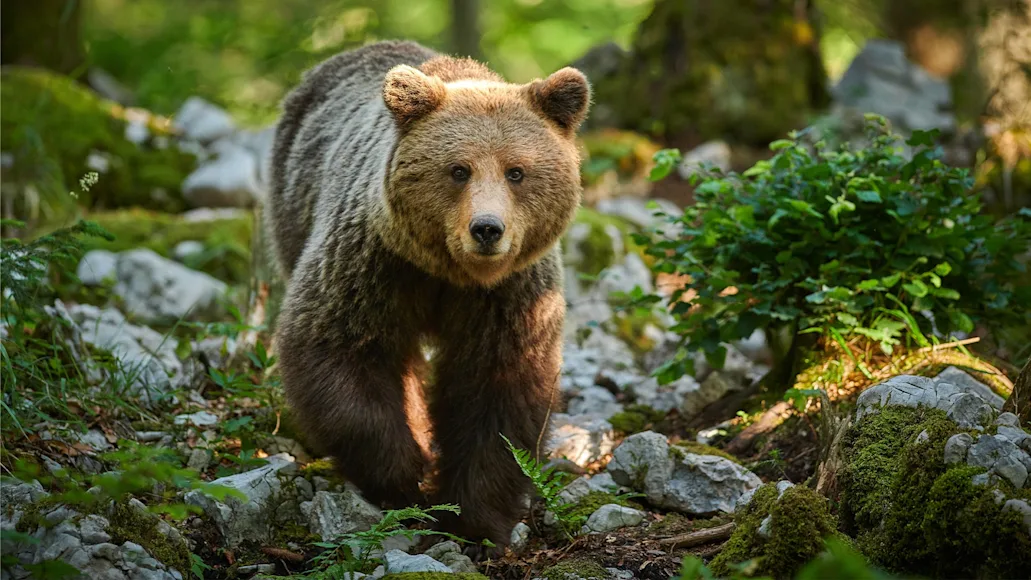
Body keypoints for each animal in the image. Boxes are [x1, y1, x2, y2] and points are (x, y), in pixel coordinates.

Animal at [265, 40, 590, 552]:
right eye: (459, 169)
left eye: (516, 171)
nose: (486, 229)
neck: (451, 274)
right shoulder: (377, 265)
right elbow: (336, 347)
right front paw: (405, 475)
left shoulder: (509, 295)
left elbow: (500, 389)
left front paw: (476, 517)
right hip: (293, 204)